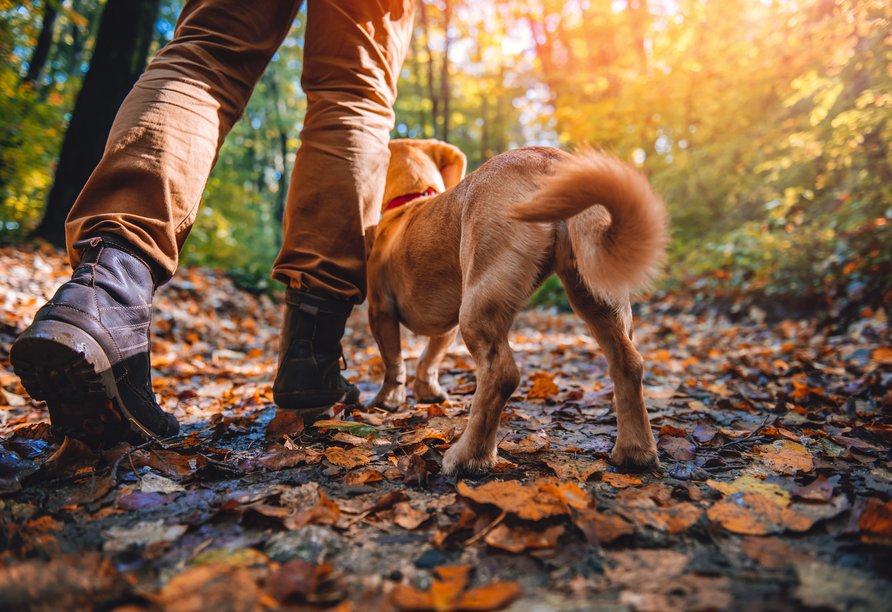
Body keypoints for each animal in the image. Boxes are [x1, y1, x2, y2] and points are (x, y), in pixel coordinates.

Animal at [366, 139, 664, 474]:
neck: (411, 203)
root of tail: (550, 159)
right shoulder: (445, 326)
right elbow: (430, 358)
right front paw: (427, 391)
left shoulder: (380, 310)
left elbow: (394, 362)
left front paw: (387, 399)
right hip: (596, 294)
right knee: (628, 363)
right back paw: (635, 451)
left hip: (478, 303)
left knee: (501, 373)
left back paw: (468, 456)